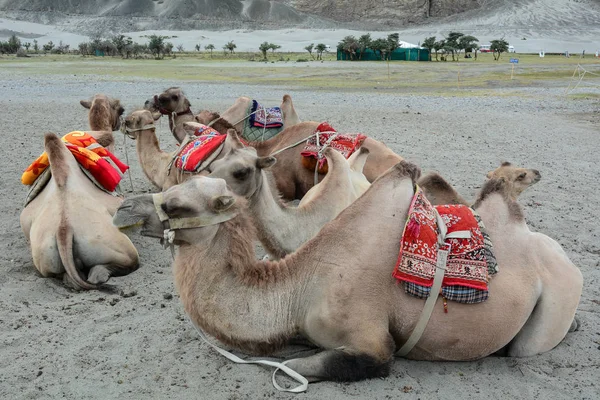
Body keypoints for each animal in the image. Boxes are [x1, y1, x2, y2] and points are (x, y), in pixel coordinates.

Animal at [111, 164, 580, 382]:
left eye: (176, 205)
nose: (120, 208)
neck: (297, 292)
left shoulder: (369, 340)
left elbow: (297, 367)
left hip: (554, 299)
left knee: (525, 348)